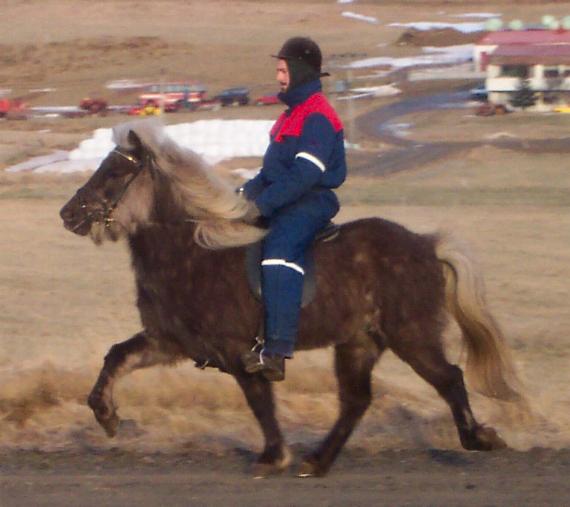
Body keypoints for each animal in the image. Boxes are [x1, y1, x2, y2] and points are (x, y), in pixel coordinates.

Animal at [60, 119, 516, 480]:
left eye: (115, 171)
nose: (68, 214)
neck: (193, 253)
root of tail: (425, 245)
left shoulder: (238, 351)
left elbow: (260, 402)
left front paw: (273, 456)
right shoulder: (169, 341)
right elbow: (117, 357)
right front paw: (106, 416)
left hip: (412, 336)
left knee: (449, 379)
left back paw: (479, 437)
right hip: (358, 344)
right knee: (356, 402)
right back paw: (317, 461)